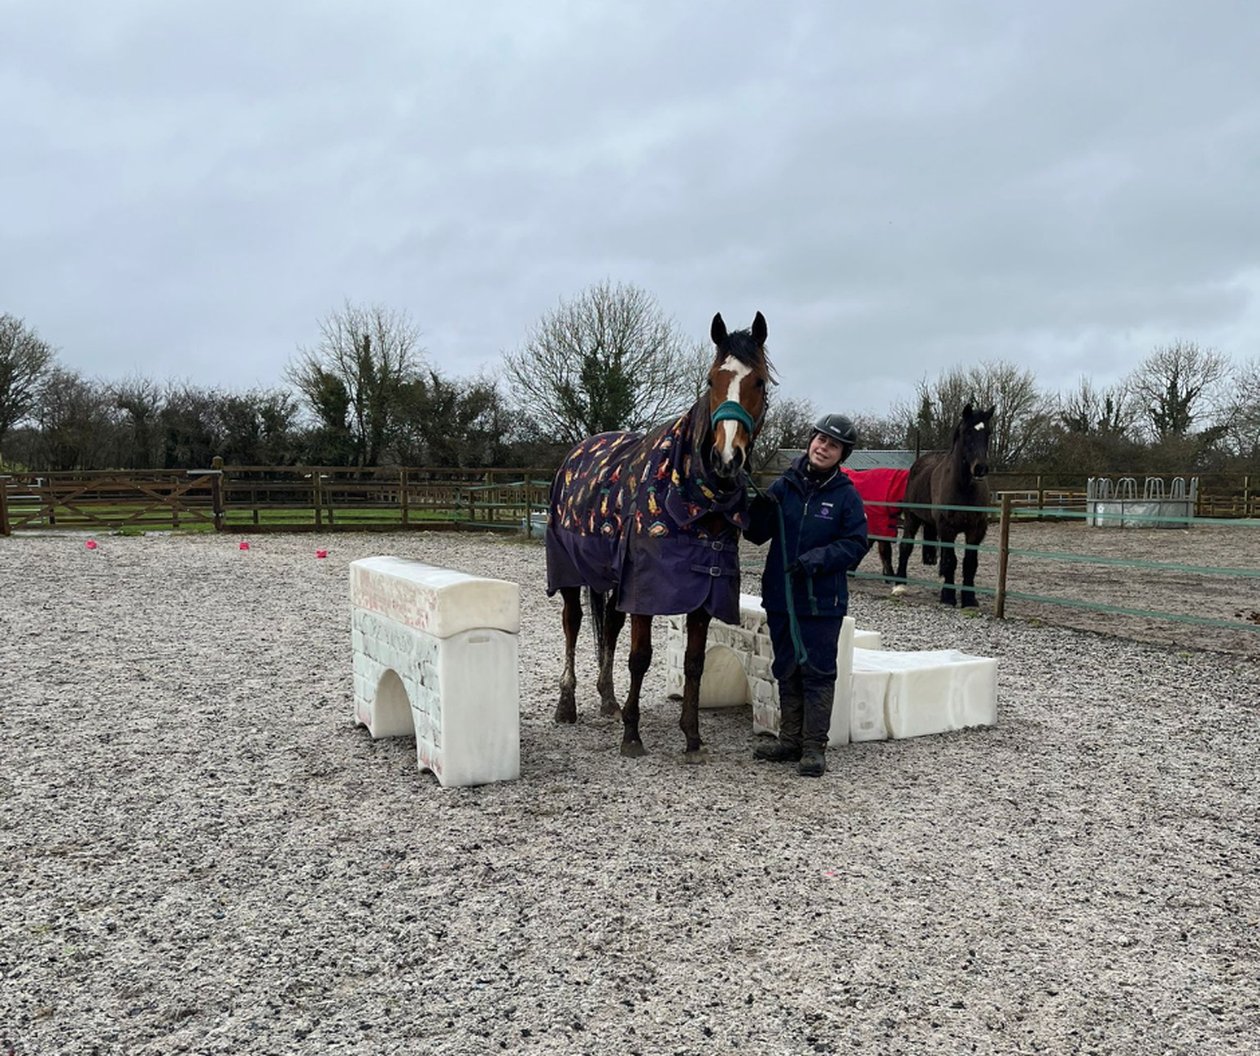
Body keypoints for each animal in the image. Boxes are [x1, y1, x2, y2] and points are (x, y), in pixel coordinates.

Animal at [544, 311, 772, 759]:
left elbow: (694, 662)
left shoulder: (703, 591)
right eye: (711, 380)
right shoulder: (645, 590)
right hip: (569, 572)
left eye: (758, 382)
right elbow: (640, 658)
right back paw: (567, 703)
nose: (726, 458)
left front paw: (692, 736)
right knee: (573, 623)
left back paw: (608, 699)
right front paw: (632, 736)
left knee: (609, 625)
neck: (688, 493)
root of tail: (577, 452)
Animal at [892, 404, 995, 609]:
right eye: (967, 432)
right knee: (906, 547)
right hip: (911, 519)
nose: (980, 468)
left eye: (988, 432)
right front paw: (948, 596)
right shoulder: (948, 529)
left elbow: (970, 562)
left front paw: (969, 598)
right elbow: (950, 560)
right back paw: (900, 583)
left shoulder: (976, 530)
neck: (964, 488)